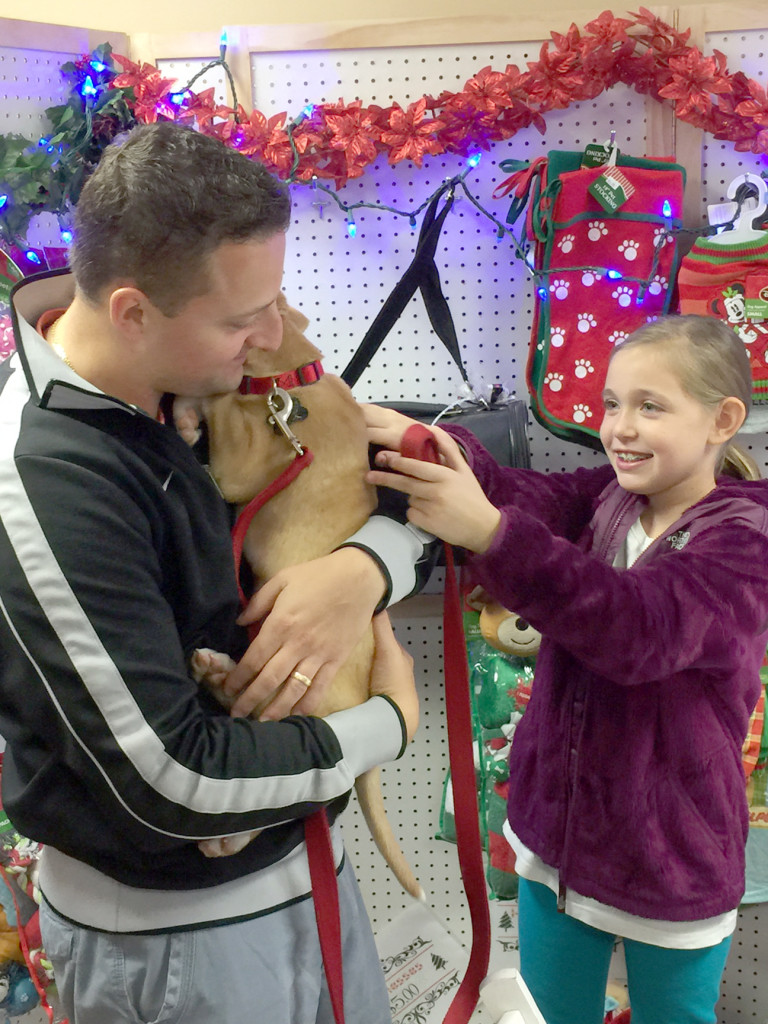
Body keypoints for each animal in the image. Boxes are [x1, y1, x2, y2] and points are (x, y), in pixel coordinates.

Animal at [180, 294, 421, 897]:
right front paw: (188, 412)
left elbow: (221, 402)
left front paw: (193, 407)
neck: (291, 380)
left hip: (297, 696)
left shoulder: (239, 466)